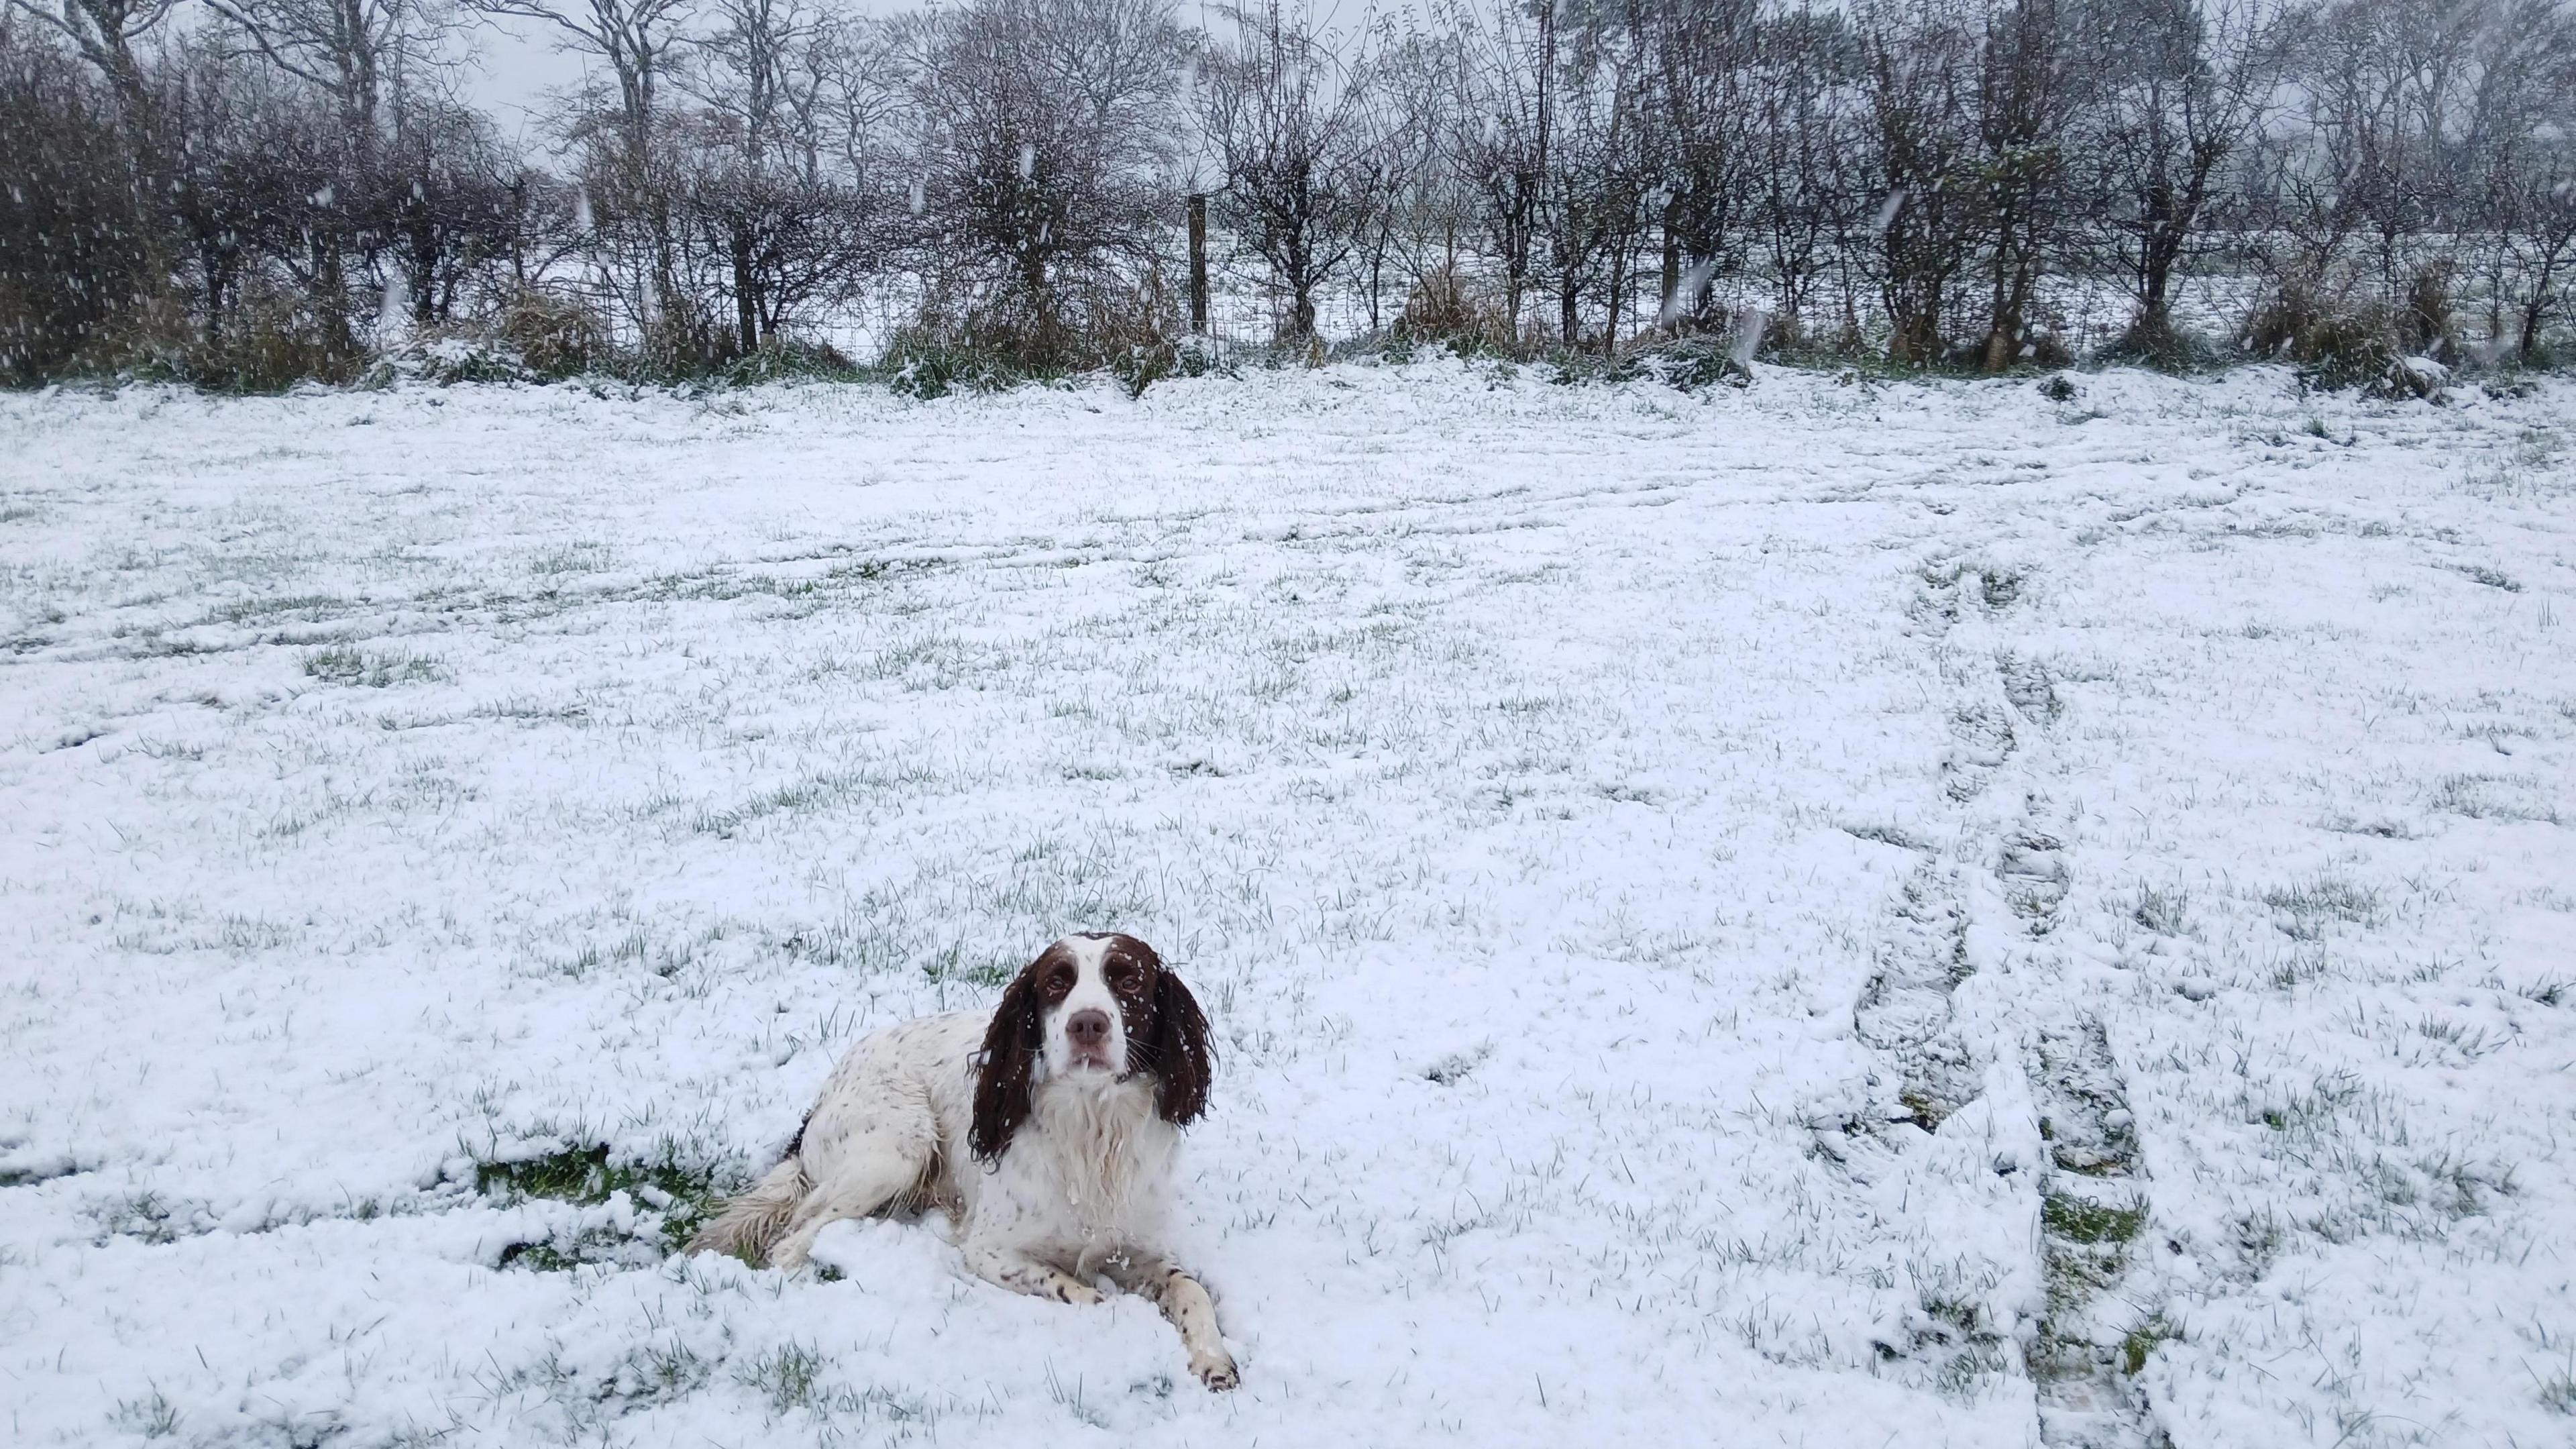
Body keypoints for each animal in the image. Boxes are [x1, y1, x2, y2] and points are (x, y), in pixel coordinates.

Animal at [695, 928, 1236, 1382]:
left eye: (1128, 979)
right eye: (1056, 983)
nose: (1088, 1024)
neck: (1092, 1128)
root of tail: (826, 1089)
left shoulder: (1134, 1246)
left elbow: (1190, 1289)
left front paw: (1214, 1358)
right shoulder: (989, 1250)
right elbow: (1073, 1286)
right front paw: (1106, 1308)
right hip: (898, 1146)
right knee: (792, 1238)